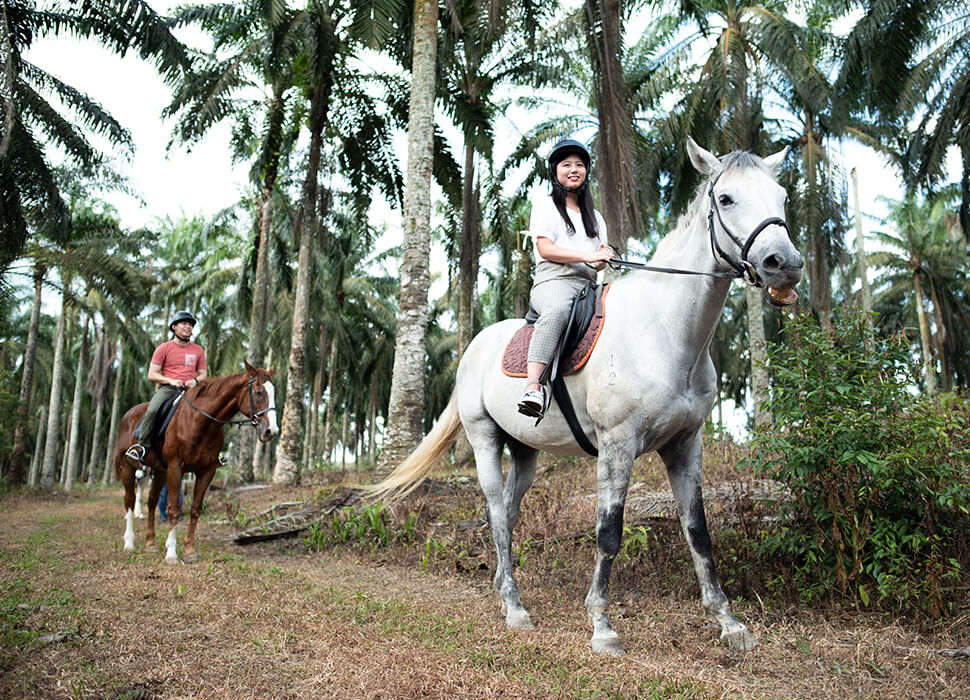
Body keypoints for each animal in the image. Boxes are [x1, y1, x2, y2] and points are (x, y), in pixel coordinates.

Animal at [112, 362, 279, 563]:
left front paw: (190, 550)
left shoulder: (206, 471)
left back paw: (150, 543)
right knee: (129, 500)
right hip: (129, 466)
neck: (200, 422)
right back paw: (129, 543)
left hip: (160, 471)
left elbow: (195, 508)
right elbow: (174, 509)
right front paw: (172, 553)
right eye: (258, 392)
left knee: (152, 500)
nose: (271, 431)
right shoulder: (175, 468)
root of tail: (128, 415)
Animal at [367, 138, 804, 654]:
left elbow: (698, 531)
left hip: (525, 451)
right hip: (483, 440)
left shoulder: (686, 444)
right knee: (495, 511)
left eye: (781, 197)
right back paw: (515, 607)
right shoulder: (617, 446)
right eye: (726, 198)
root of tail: (476, 346)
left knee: (509, 512)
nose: (785, 265)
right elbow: (609, 533)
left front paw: (729, 622)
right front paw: (602, 625)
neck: (664, 332)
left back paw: (502, 586)